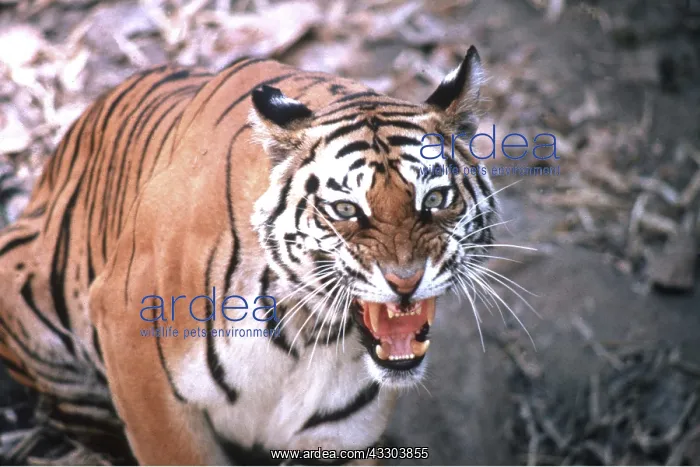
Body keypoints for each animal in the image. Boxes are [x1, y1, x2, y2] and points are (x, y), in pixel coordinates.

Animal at [0, 45, 497, 465]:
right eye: (345, 209)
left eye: (435, 198)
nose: (406, 280)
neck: (311, 332)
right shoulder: (133, 345)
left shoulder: (337, 439)